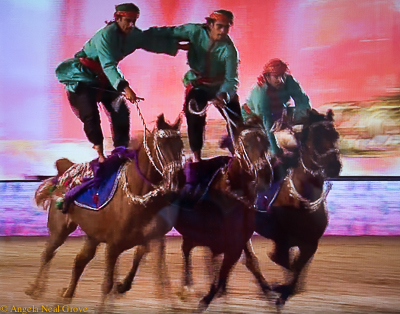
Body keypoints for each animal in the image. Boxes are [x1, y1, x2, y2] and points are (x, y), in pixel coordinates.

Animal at [25, 113, 185, 310]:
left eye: (180, 144)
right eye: (161, 145)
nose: (179, 178)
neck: (137, 198)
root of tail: (64, 172)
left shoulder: (153, 238)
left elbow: (156, 271)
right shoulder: (113, 245)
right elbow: (107, 284)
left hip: (92, 237)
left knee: (79, 261)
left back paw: (65, 295)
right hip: (59, 230)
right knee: (48, 254)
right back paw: (35, 289)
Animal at [114, 116, 274, 312]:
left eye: (265, 142)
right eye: (246, 144)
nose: (266, 174)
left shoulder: (235, 240)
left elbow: (249, 264)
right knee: (150, 251)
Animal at [242, 109, 342, 308]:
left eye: (335, 135)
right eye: (315, 138)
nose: (334, 166)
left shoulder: (310, 243)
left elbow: (296, 272)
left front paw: (284, 289)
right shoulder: (281, 241)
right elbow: (283, 262)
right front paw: (278, 289)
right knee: (251, 261)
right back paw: (266, 289)